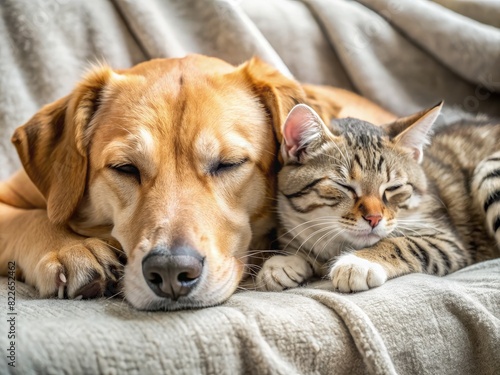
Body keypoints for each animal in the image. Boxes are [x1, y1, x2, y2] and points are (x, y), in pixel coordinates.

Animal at [256, 103, 500, 294]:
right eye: (344, 186)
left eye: (393, 188)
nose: (374, 218)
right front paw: (285, 260)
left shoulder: (445, 239)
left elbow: (402, 243)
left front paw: (359, 261)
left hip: (490, 170)